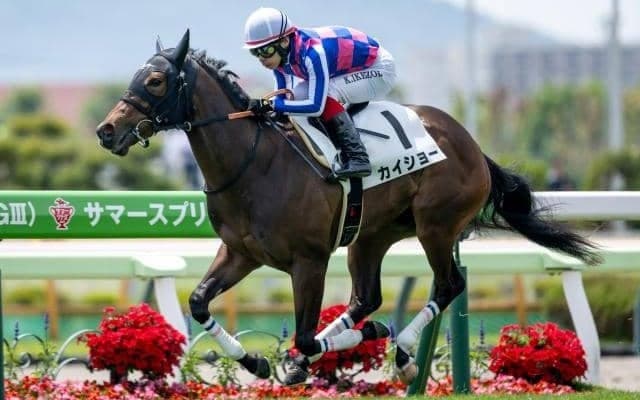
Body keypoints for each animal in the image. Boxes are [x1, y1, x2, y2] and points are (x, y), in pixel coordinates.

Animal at [96, 30, 601, 385]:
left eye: (155, 80)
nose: (106, 131)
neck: (254, 162)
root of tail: (472, 146)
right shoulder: (240, 254)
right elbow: (200, 303)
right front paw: (258, 362)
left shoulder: (309, 260)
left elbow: (302, 332)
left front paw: (316, 352)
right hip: (372, 235)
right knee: (366, 297)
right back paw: (357, 341)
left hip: (436, 226)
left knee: (448, 284)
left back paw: (401, 350)